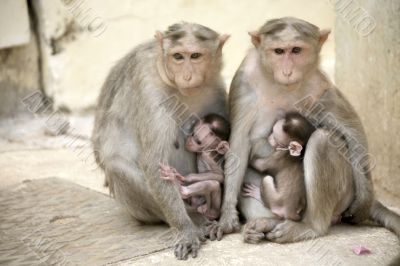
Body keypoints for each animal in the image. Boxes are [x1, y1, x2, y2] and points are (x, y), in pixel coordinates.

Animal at [90, 22, 228, 260]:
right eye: (178, 57)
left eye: (196, 55)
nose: (187, 76)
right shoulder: (149, 87)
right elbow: (154, 162)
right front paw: (185, 230)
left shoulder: (216, 88)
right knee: (117, 165)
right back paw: (195, 218)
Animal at [209, 17, 400, 245]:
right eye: (279, 51)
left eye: (296, 50)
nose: (287, 71)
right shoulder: (244, 79)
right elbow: (239, 143)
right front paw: (227, 217)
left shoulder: (319, 85)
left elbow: (351, 128)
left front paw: (364, 200)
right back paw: (267, 223)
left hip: (344, 193)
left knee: (322, 139)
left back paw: (310, 226)